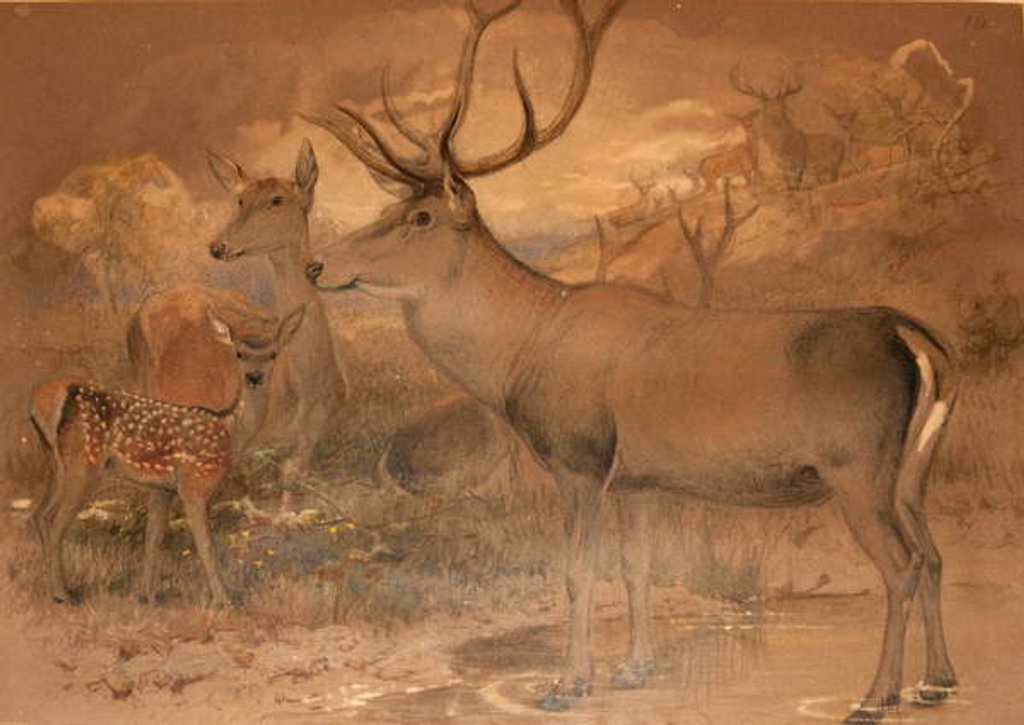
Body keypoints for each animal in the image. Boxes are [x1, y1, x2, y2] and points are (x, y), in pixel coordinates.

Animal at [31, 305, 305, 607]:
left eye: (273, 354)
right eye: (239, 354)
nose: (254, 377)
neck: (230, 430)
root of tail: (43, 402)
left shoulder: (162, 487)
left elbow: (153, 538)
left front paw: (146, 595)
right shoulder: (192, 482)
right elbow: (205, 543)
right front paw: (224, 600)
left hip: (57, 462)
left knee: (40, 514)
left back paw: (52, 588)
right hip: (84, 463)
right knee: (56, 524)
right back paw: (62, 594)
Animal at [304, 1, 959, 721]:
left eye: (420, 217)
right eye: (389, 205)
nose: (318, 264)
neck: (520, 354)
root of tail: (913, 335)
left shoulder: (580, 458)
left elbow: (577, 570)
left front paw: (568, 683)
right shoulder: (638, 480)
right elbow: (636, 566)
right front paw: (634, 666)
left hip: (857, 464)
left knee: (901, 564)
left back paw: (876, 694)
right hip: (913, 468)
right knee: (933, 556)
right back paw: (937, 680)